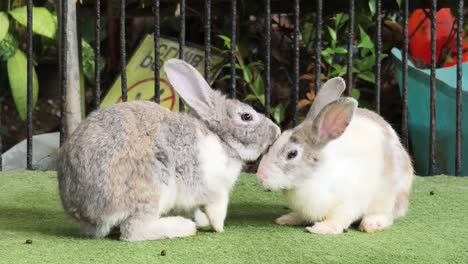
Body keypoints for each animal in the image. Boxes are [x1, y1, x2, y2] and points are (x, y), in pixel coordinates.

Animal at [56, 59, 280, 241]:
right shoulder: (214, 189)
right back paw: (183, 227)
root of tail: (85, 211)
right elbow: (217, 210)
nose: (276, 131)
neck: (221, 139)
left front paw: (203, 221)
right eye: (246, 116)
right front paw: (218, 227)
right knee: (133, 231)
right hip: (153, 186)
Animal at [256, 77, 414, 234]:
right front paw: (289, 218)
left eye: (292, 154)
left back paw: (372, 223)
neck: (312, 178)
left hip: (389, 197)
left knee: (388, 215)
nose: (260, 176)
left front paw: (321, 228)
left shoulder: (348, 203)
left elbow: (338, 219)